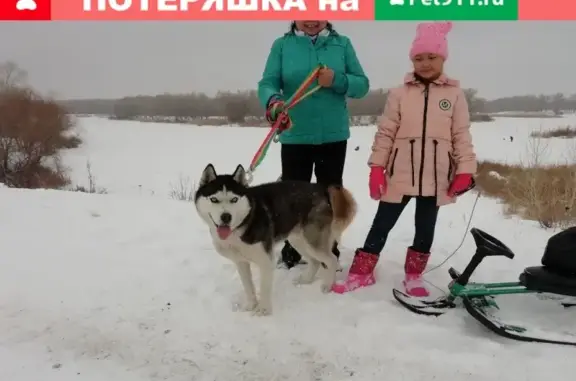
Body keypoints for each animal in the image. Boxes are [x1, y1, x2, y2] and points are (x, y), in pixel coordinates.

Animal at [195, 163, 356, 314]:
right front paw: (250, 306)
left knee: (331, 259)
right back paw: (306, 280)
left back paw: (328, 285)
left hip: (312, 241)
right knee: (315, 261)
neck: (243, 223)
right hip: (298, 240)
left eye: (234, 199)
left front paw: (263, 310)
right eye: (214, 199)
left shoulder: (266, 261)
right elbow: (248, 286)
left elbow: (264, 288)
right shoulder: (241, 262)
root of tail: (321, 188)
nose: (226, 217)